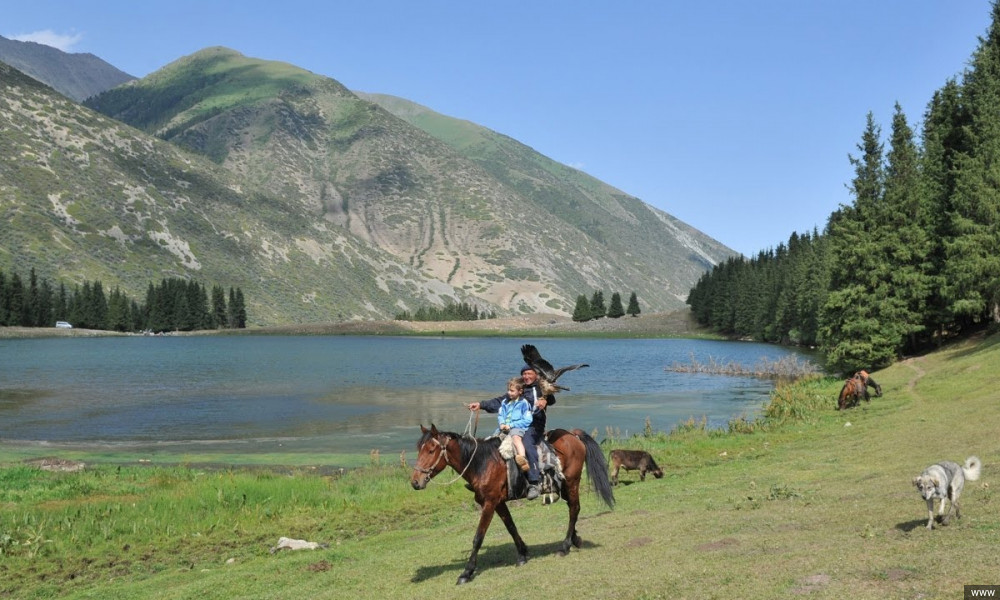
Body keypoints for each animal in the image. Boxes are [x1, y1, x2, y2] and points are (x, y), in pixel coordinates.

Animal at [408, 424, 612, 584]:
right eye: (419, 449)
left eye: (431, 450)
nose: (415, 482)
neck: (482, 463)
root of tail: (573, 435)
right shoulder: (498, 503)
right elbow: (511, 527)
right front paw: (522, 554)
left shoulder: (489, 503)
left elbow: (478, 537)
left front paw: (466, 572)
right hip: (562, 486)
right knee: (573, 509)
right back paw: (575, 539)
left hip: (572, 483)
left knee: (574, 509)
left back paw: (565, 546)